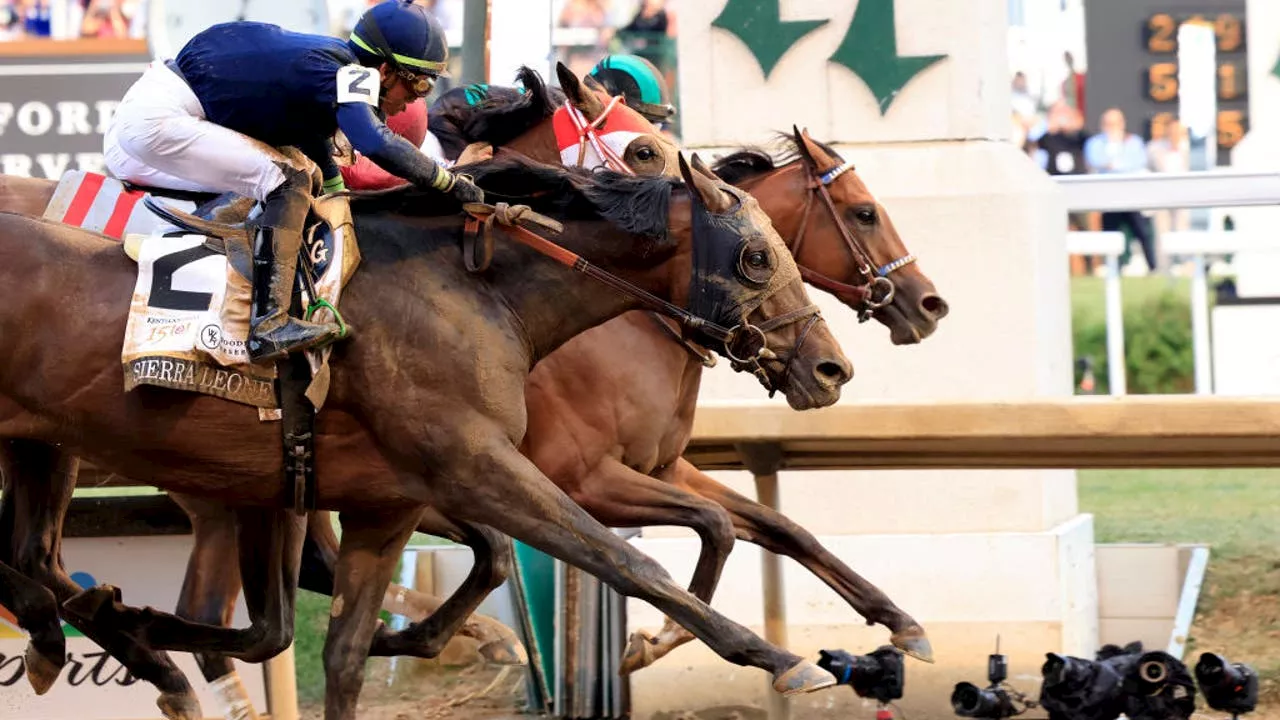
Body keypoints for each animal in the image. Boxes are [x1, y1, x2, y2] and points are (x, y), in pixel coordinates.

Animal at [2, 152, 860, 717]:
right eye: (756, 258)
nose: (831, 368)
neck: (477, 291)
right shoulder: (485, 466)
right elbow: (631, 561)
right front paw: (782, 660)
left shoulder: (382, 504)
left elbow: (341, 653)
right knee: (48, 570)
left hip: (52, 450)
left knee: (40, 559)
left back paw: (105, 632)